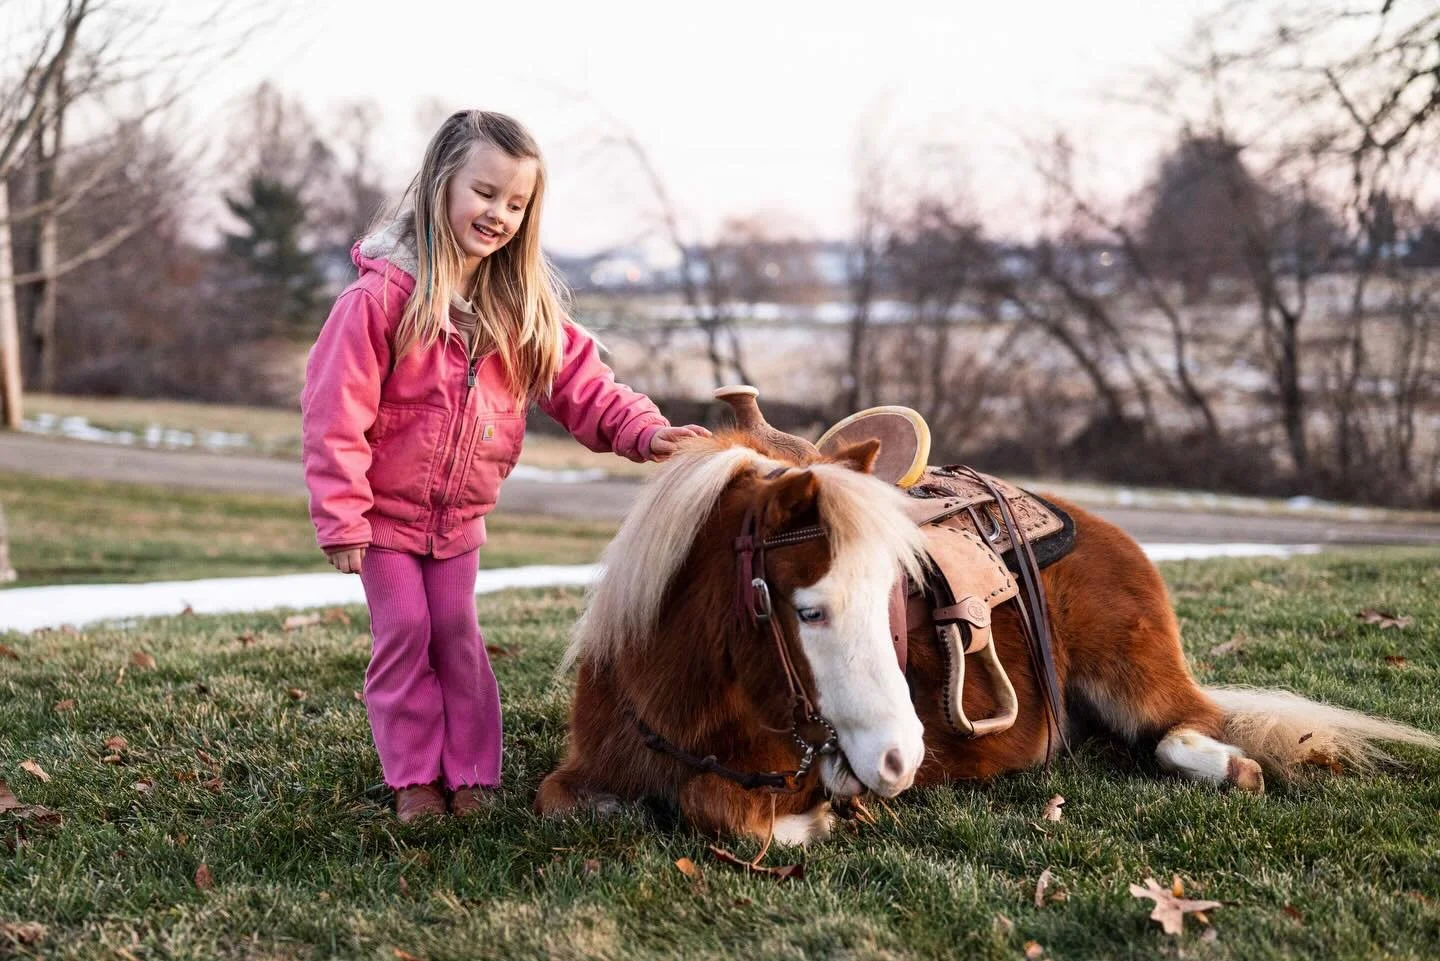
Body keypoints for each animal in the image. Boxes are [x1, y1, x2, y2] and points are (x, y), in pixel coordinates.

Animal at [535, 420, 1438, 845]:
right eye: (810, 609)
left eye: (891, 598)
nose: (899, 761)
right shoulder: (578, 778)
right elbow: (571, 803)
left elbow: (718, 809)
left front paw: (822, 818)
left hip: (1133, 676)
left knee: (1185, 727)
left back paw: (1230, 765)